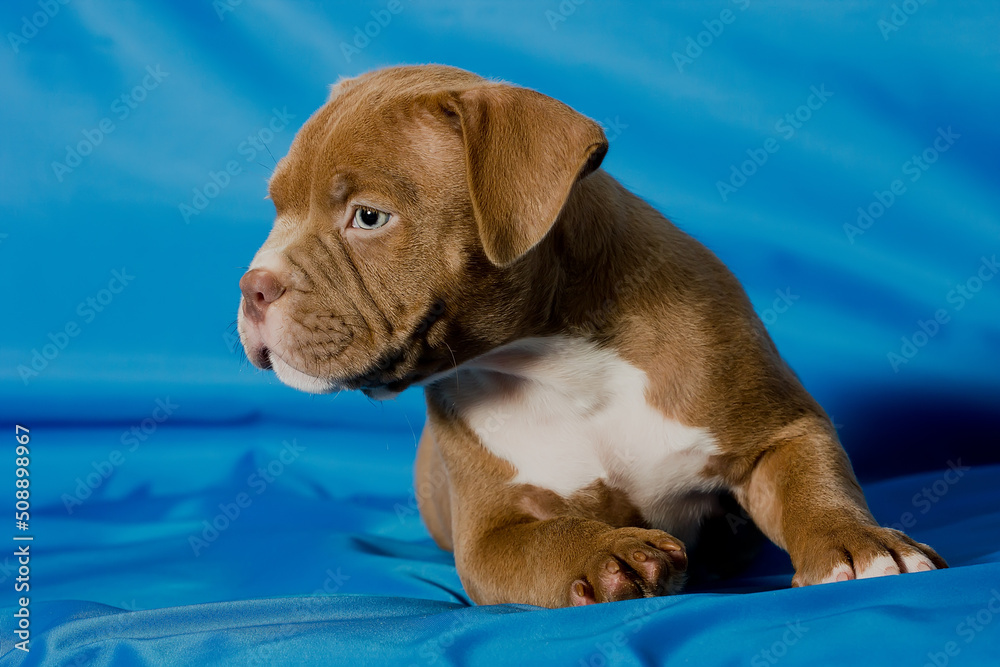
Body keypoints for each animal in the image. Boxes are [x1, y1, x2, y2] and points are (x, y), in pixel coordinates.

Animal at [236, 65, 944, 608]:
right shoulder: (492, 534)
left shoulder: (775, 428)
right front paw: (609, 556)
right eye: (276, 209)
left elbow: (811, 485)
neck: (554, 362)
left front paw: (859, 546)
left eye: (369, 217)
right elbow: (543, 542)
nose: (252, 286)